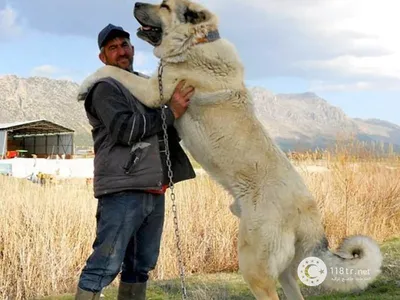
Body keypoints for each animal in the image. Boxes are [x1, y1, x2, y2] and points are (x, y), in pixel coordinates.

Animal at [77, 1, 382, 298]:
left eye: (164, 6)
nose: (136, 3)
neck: (196, 42)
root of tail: (310, 216)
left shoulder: (154, 90)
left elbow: (112, 71)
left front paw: (84, 86)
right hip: (282, 269)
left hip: (253, 265)